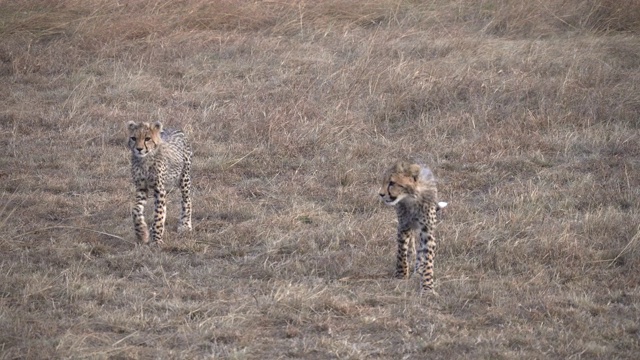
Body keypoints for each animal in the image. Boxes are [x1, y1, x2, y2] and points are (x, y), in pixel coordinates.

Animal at [378, 162, 448, 292]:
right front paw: (401, 276)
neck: (412, 198)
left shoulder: (427, 230)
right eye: (384, 181)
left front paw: (427, 287)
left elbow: (427, 258)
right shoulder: (404, 226)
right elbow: (402, 253)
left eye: (392, 183)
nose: (381, 194)